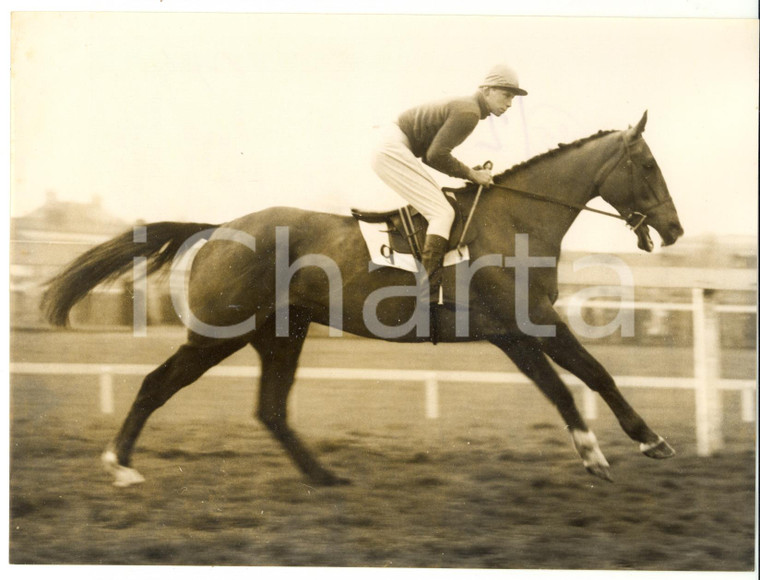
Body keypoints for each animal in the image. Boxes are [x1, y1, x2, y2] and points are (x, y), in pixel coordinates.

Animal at [40, 111, 684, 488]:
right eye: (649, 164)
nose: (675, 229)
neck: (516, 221)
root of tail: (220, 227)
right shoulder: (525, 324)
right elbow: (587, 375)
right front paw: (633, 442)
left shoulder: (513, 332)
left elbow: (568, 383)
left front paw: (608, 449)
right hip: (220, 332)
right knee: (158, 383)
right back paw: (120, 465)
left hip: (280, 333)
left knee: (271, 408)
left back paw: (323, 477)